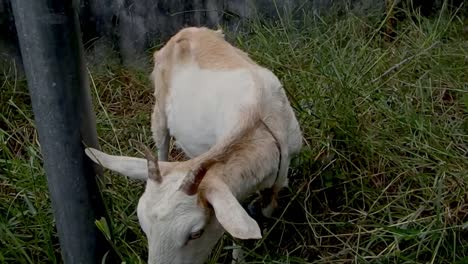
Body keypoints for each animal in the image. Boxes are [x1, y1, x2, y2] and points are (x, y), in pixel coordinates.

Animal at [85, 26, 302, 264]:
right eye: (143, 225)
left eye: (195, 233)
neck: (258, 120)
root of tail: (185, 32)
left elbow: (267, 207)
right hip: (159, 113)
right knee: (162, 146)